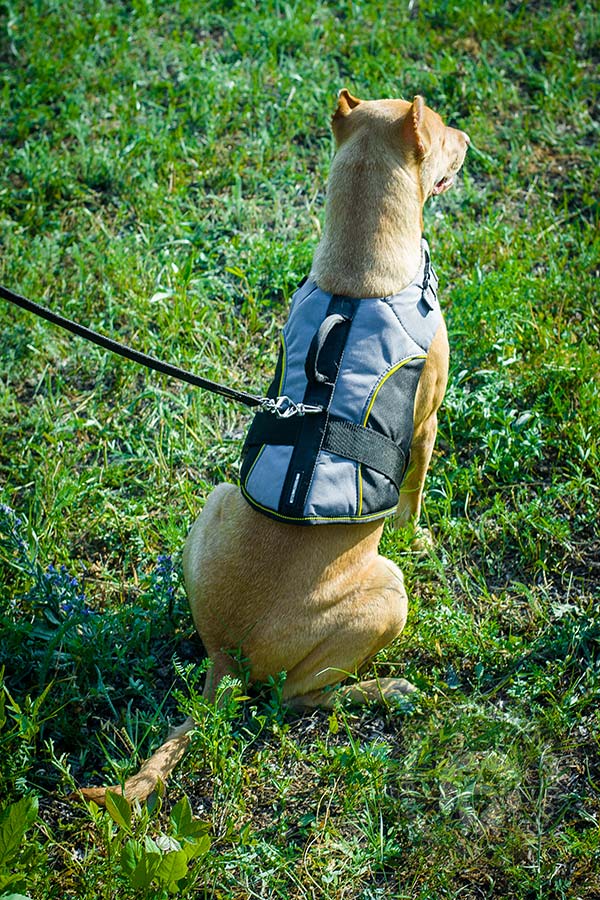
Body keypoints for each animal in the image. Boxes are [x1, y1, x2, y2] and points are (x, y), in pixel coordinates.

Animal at [81, 89, 468, 808]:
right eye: (440, 132)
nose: (469, 139)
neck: (359, 271)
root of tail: (228, 661)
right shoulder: (428, 419)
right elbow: (414, 495)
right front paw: (421, 534)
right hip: (386, 595)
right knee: (293, 700)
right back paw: (384, 690)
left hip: (217, 499)